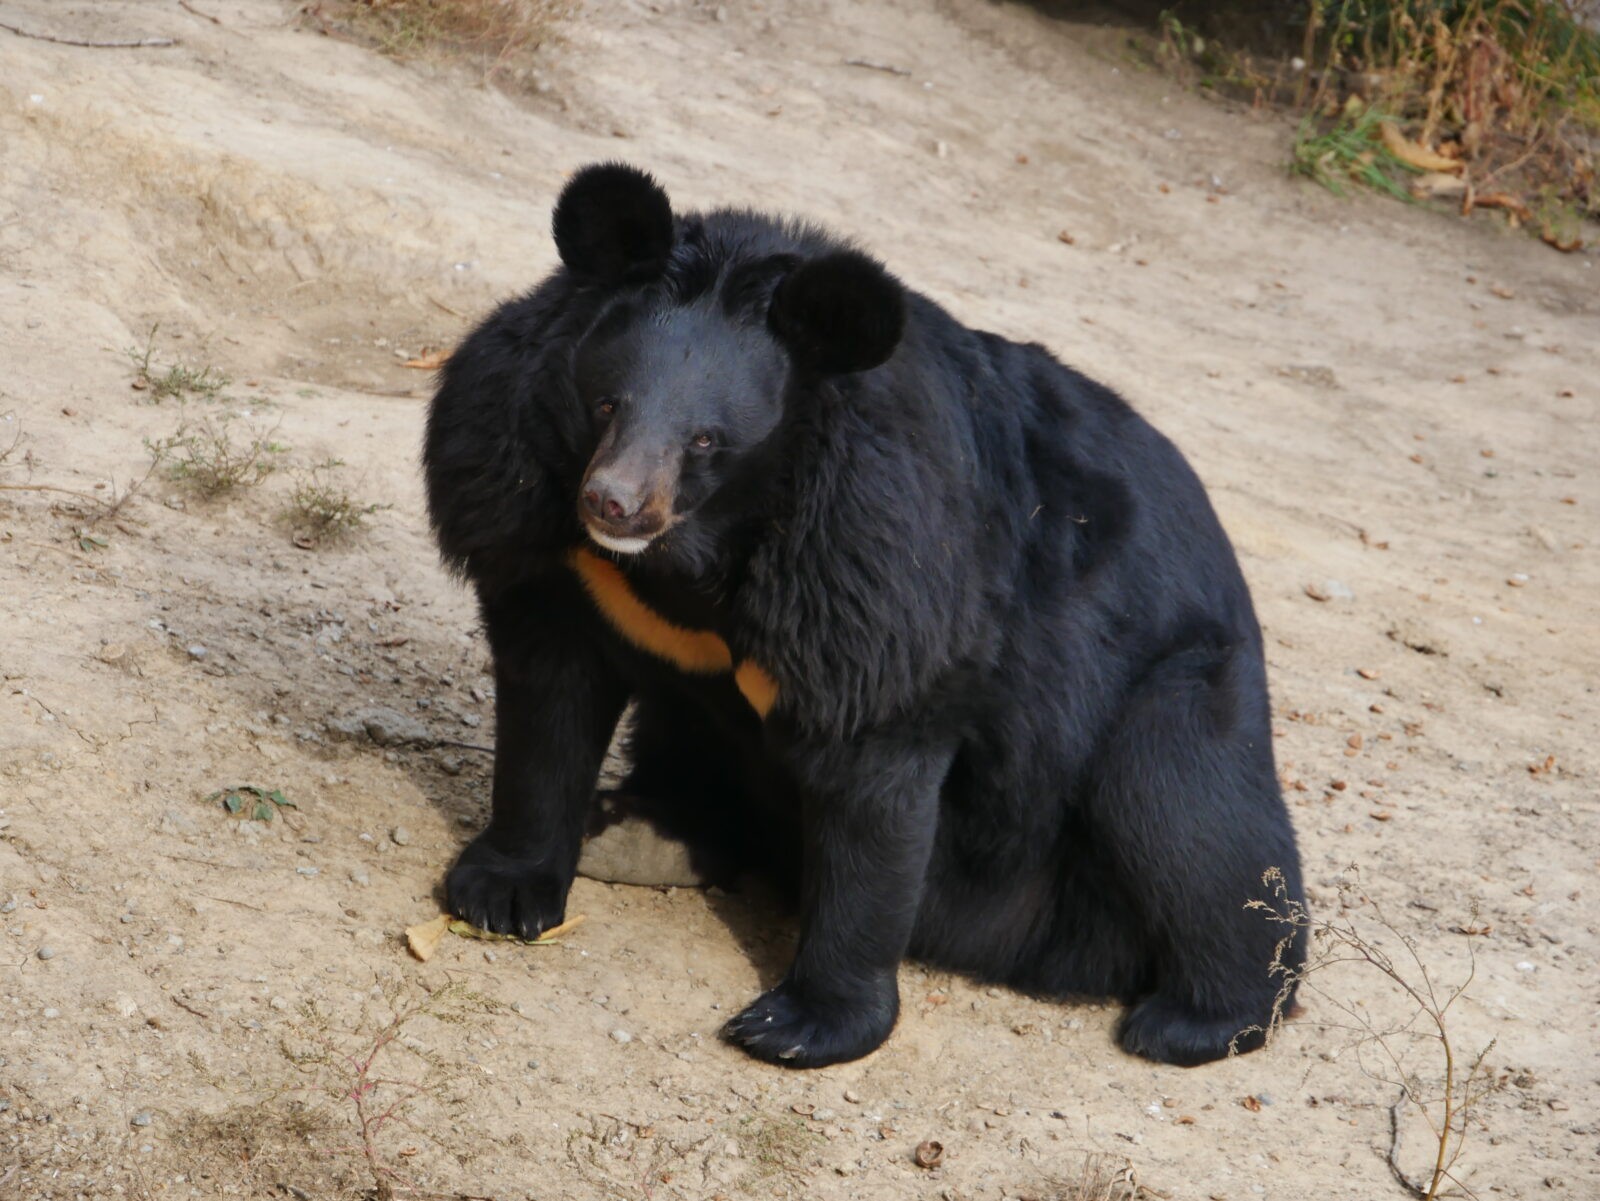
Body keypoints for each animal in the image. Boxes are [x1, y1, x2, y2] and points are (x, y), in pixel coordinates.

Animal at [422, 162, 1299, 1068]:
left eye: (706, 440)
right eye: (606, 404)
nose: (614, 503)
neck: (693, 554)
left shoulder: (875, 570)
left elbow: (875, 780)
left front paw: (799, 1023)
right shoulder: (537, 527)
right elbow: (549, 708)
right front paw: (501, 891)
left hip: (1175, 690)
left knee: (1188, 817)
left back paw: (1197, 1017)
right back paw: (634, 830)